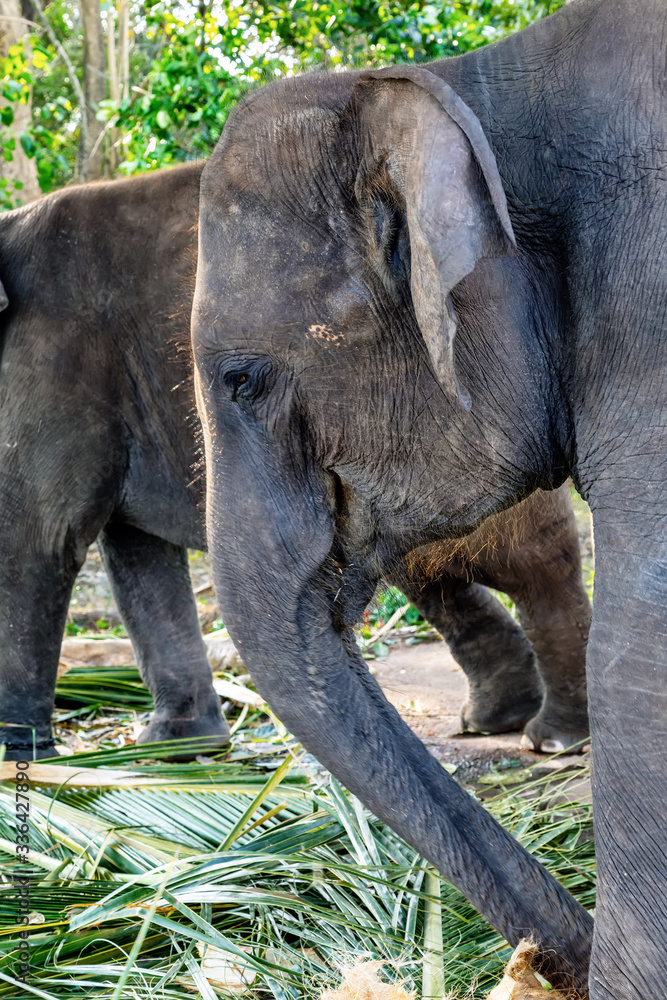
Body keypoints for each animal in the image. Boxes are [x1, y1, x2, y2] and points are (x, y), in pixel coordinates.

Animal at [0, 165, 591, 759]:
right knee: (427, 567)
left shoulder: (53, 361)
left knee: (526, 560)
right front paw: (177, 748)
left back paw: (556, 738)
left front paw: (19, 756)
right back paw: (495, 719)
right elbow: (133, 551)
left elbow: (36, 540)